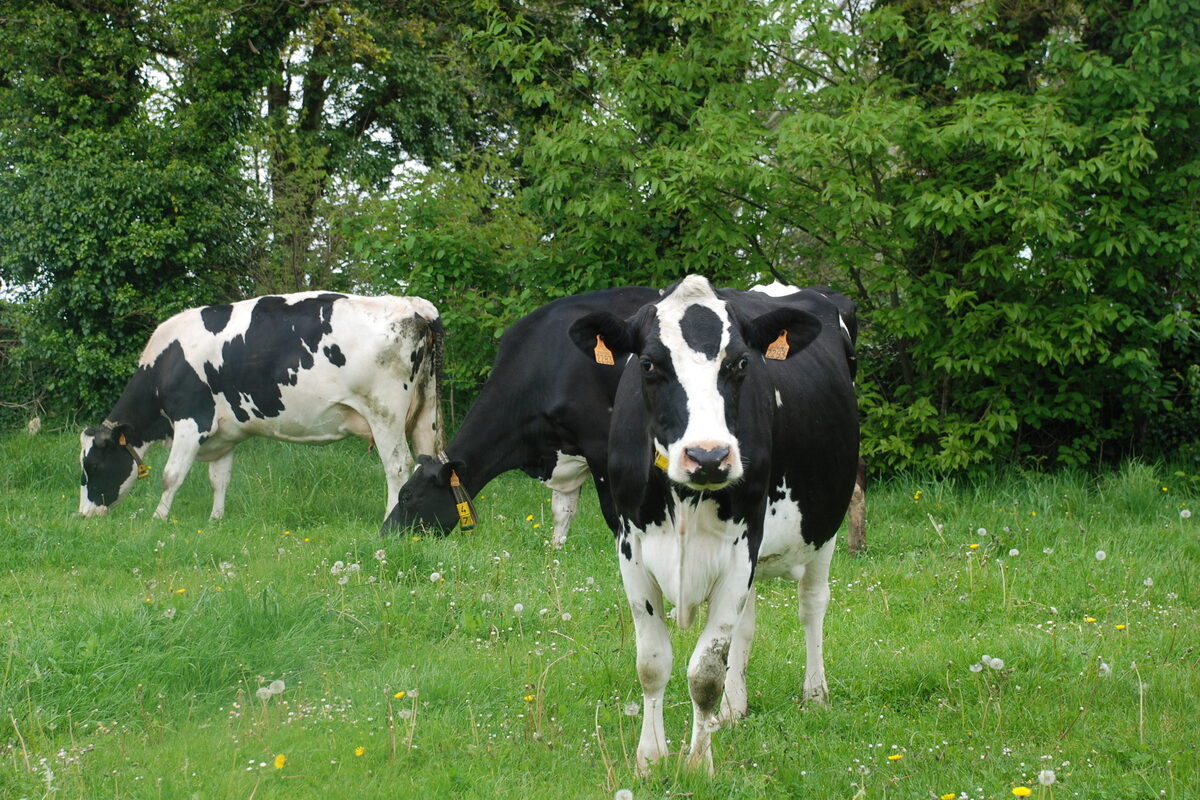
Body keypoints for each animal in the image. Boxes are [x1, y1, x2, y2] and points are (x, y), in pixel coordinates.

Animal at [79, 292, 443, 522]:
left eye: (93, 466)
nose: (84, 515)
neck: (167, 364)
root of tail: (413, 305)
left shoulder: (191, 422)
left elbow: (171, 476)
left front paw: (158, 518)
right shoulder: (224, 435)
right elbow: (219, 479)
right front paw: (215, 519)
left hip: (385, 413)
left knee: (397, 466)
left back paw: (390, 519)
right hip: (426, 413)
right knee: (430, 462)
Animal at [566, 274, 859, 774]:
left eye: (741, 363)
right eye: (649, 363)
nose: (708, 457)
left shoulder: (742, 547)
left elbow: (704, 672)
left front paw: (699, 764)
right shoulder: (631, 549)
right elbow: (653, 663)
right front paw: (650, 758)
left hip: (824, 526)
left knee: (812, 606)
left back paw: (814, 693)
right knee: (746, 624)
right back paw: (733, 709)